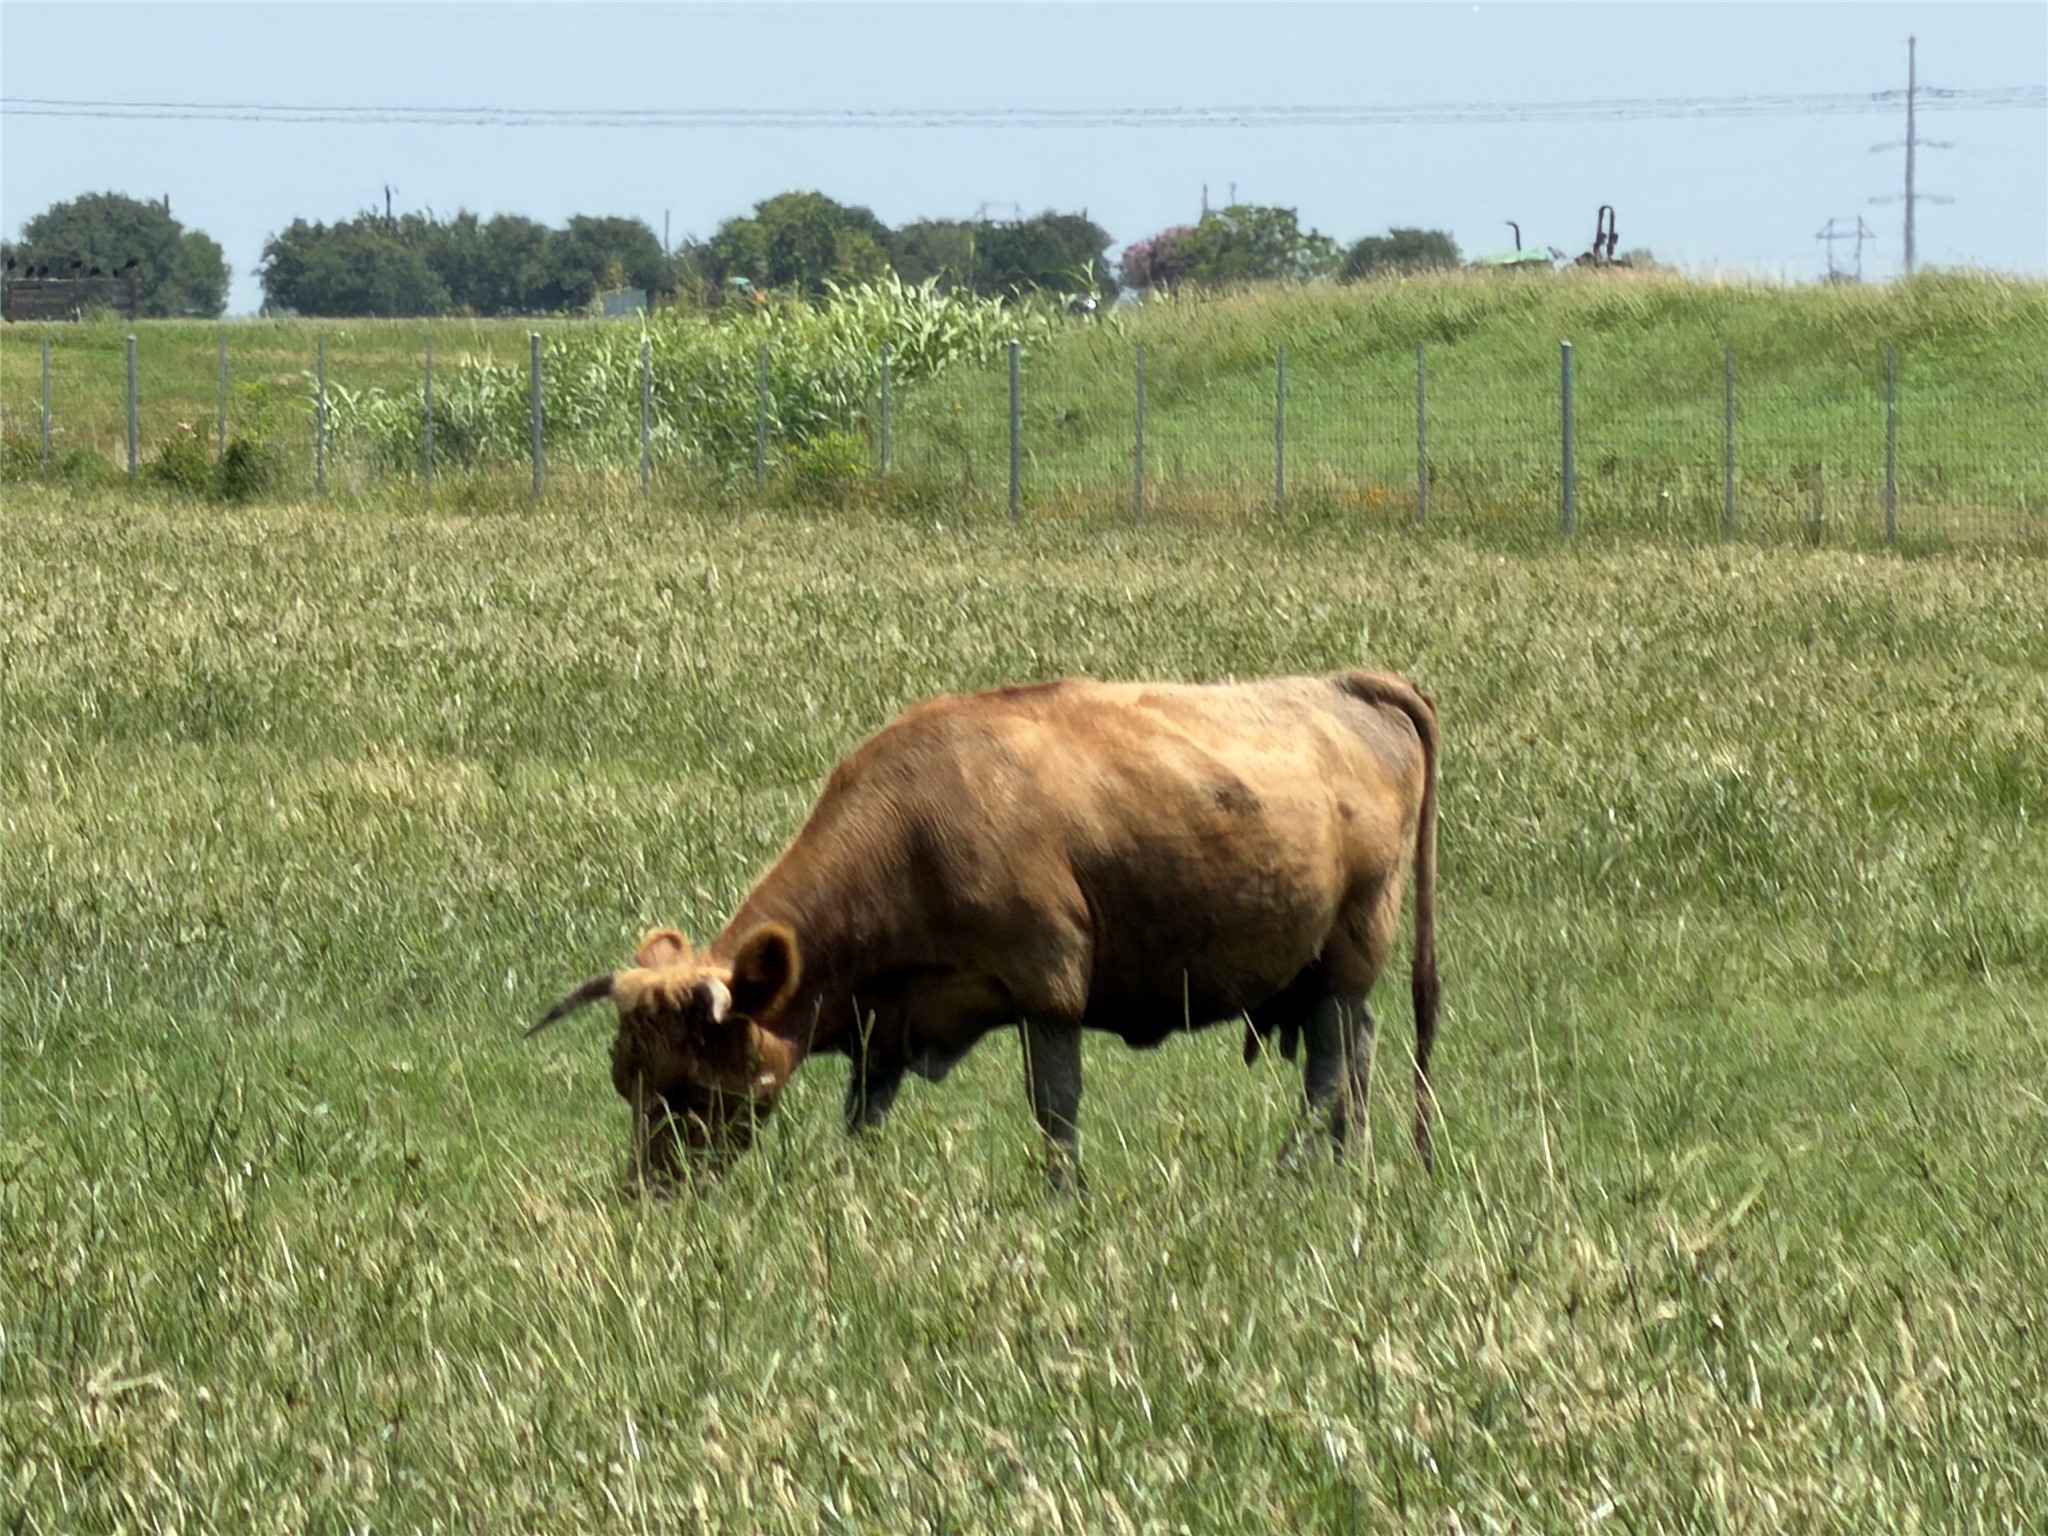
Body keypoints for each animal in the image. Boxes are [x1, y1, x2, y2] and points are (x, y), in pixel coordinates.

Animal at [533, 668, 1440, 1189]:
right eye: (625, 1081)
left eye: (694, 1087)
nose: (647, 1194)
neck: (912, 827)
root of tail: (1341, 685)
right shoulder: (887, 1019)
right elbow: (863, 1114)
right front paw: (848, 1190)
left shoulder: (1049, 984)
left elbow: (1055, 1107)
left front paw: (1063, 1198)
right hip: (1320, 972)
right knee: (1350, 1058)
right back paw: (1340, 1171)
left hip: (1350, 947)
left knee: (1333, 1064)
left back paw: (1296, 1172)